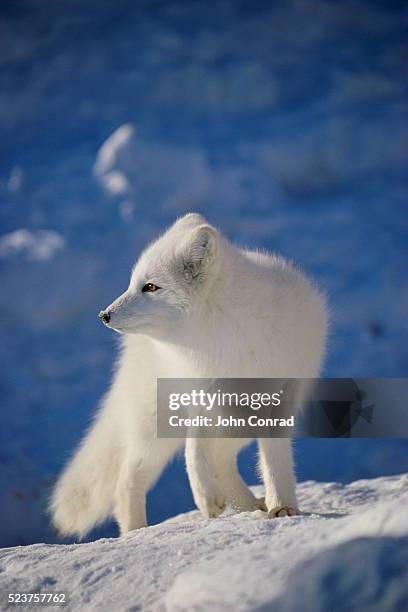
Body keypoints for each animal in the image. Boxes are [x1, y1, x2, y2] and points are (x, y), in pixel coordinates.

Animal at [49, 214, 326, 536]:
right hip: (160, 424)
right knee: (129, 476)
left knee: (221, 459)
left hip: (237, 421)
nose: (103, 315)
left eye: (150, 286)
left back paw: (249, 505)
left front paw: (283, 507)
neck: (221, 338)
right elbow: (193, 452)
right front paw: (205, 498)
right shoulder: (201, 394)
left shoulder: (279, 398)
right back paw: (136, 532)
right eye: (133, 283)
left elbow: (274, 457)